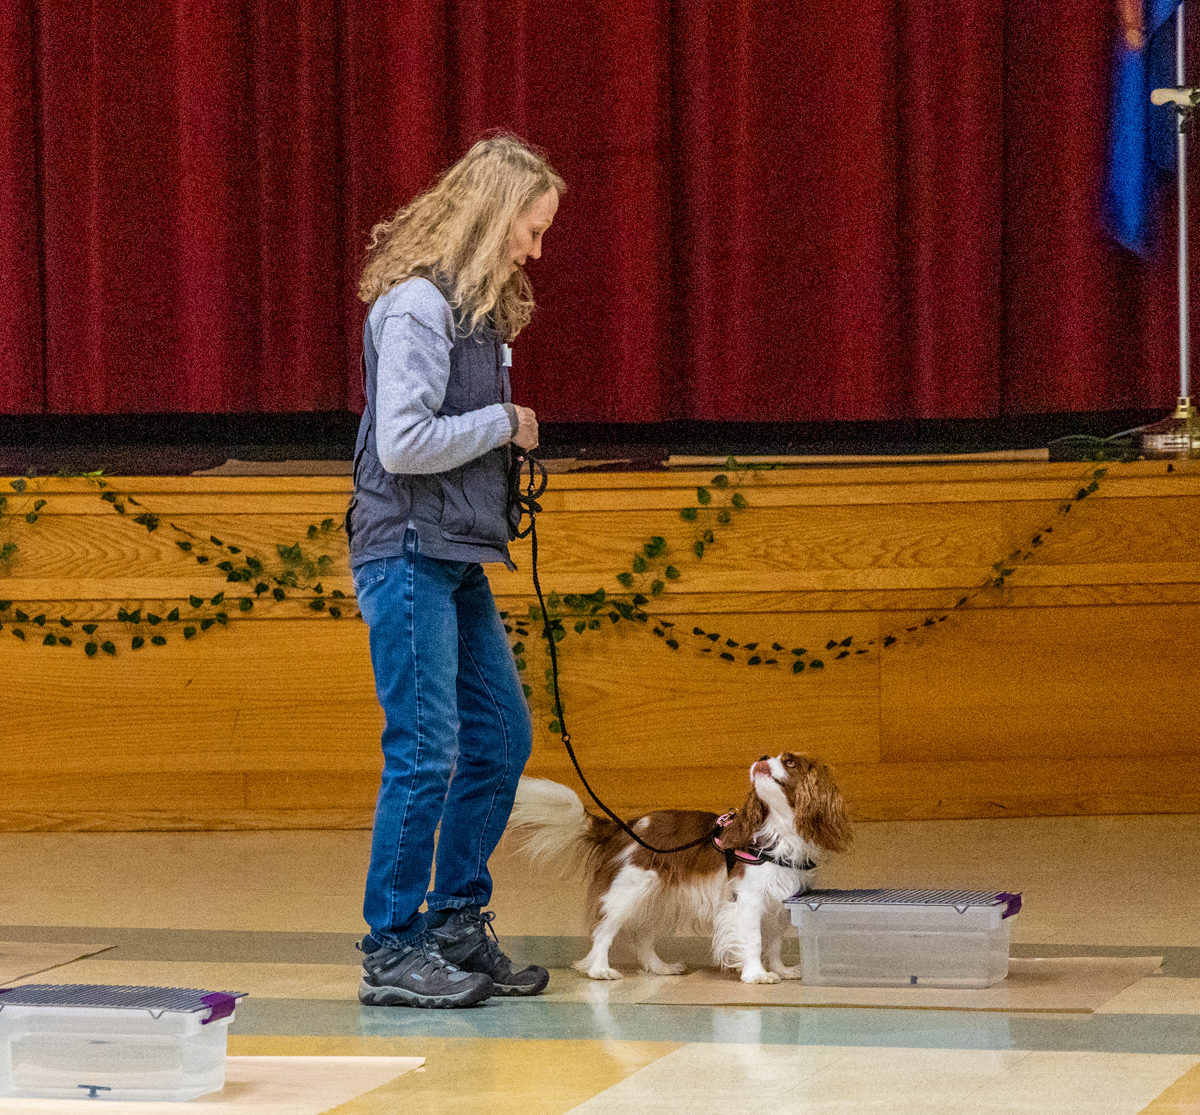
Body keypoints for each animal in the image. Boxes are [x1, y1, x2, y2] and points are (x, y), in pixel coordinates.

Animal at [505, 752, 852, 984]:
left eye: (789, 761)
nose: (763, 756)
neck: (781, 832)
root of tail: (627, 825)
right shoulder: (748, 900)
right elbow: (753, 939)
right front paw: (756, 975)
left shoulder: (780, 902)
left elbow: (776, 942)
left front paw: (781, 969)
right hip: (628, 891)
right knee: (604, 931)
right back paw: (599, 969)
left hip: (660, 899)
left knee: (642, 938)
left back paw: (661, 968)